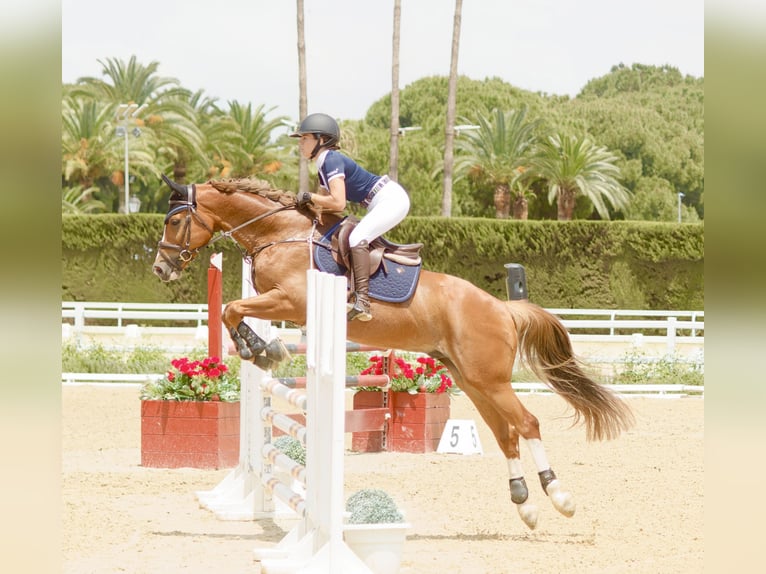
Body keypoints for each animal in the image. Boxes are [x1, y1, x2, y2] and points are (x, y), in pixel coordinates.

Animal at [152, 176, 636, 532]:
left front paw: (261, 348)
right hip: (473, 380)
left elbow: (233, 308)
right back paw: (525, 505)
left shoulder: (290, 301)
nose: (160, 269)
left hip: (491, 379)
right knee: (506, 434)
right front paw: (259, 347)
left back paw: (560, 498)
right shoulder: (278, 301)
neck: (280, 235)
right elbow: (234, 310)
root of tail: (503, 307)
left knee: (527, 423)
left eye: (174, 222)